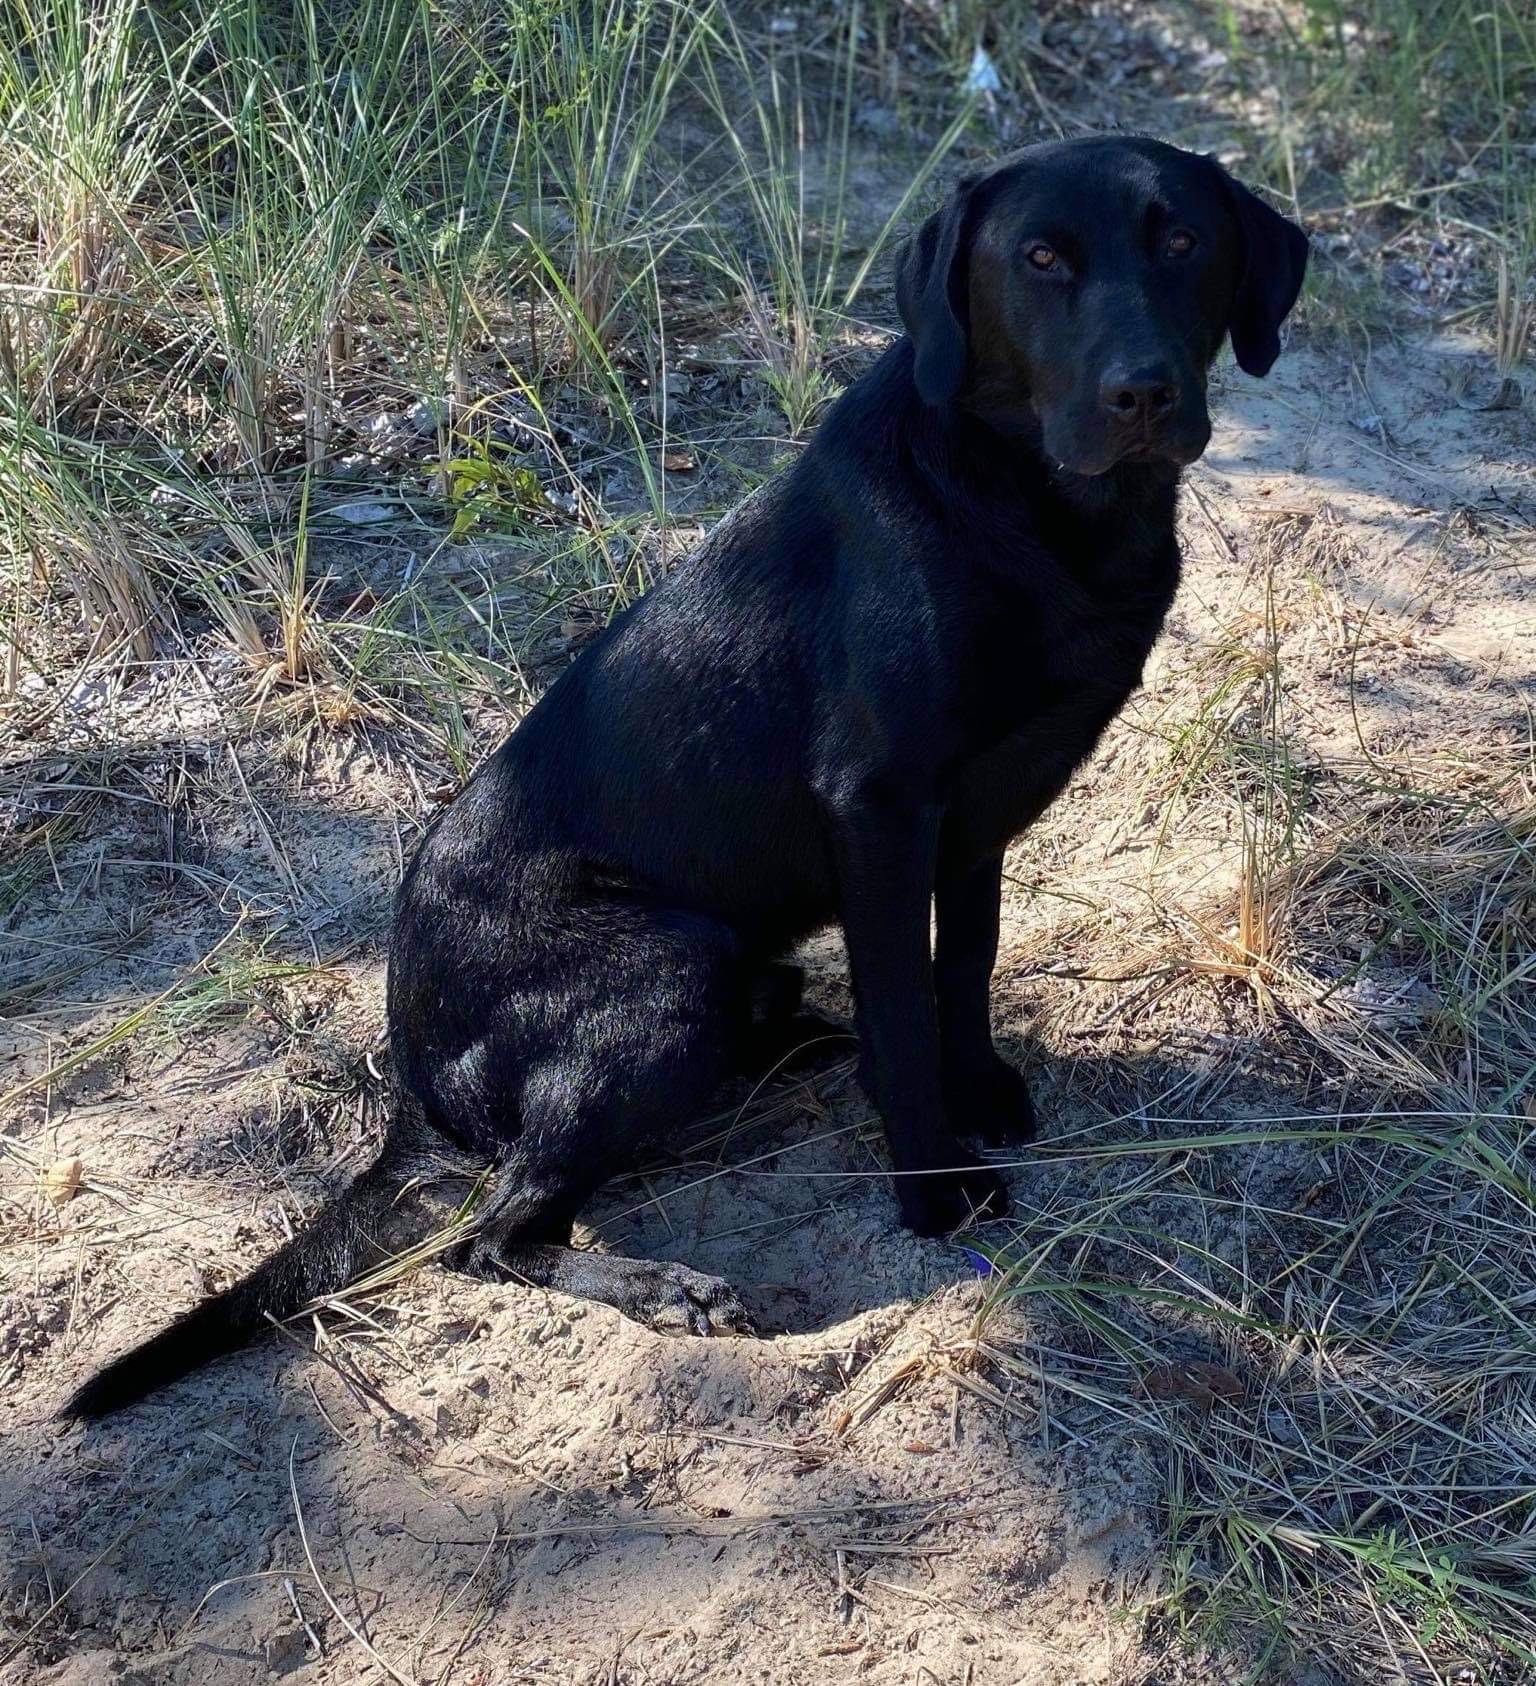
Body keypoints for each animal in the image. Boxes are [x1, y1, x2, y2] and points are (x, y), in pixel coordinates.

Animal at [66, 134, 1301, 1422]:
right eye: (1042, 258)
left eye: (1183, 240)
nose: (1141, 394)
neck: (1031, 506)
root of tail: (412, 1083)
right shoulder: (881, 810)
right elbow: (904, 1006)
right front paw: (930, 1185)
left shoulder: (978, 819)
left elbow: (959, 971)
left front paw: (980, 1090)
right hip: (670, 964)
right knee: (495, 1236)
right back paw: (674, 1288)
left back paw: (798, 1046)